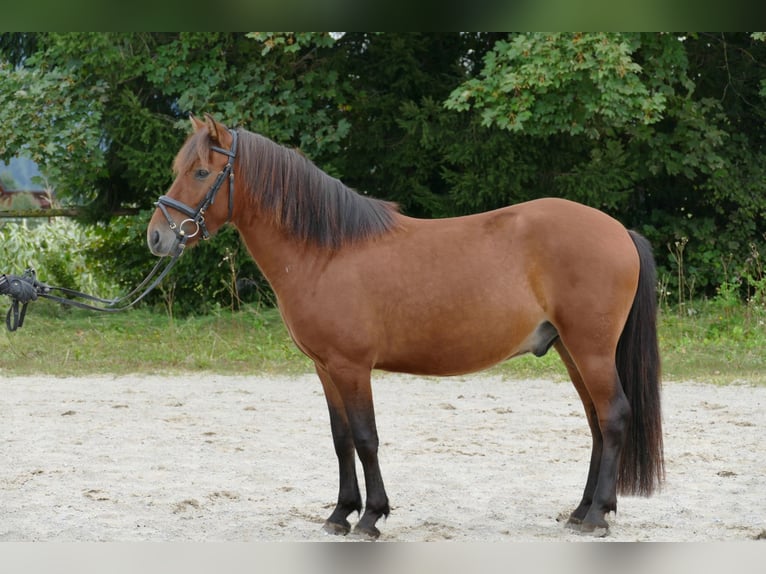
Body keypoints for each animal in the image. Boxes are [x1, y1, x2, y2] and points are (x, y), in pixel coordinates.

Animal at [147, 116, 664, 540]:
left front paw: (372, 517)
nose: (157, 236)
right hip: (570, 350)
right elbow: (340, 440)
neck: (325, 252)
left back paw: (597, 516)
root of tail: (619, 231)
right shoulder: (325, 369)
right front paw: (341, 514)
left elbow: (366, 438)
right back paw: (581, 511)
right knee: (596, 422)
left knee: (614, 415)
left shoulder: (352, 367)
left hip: (590, 349)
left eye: (201, 172)